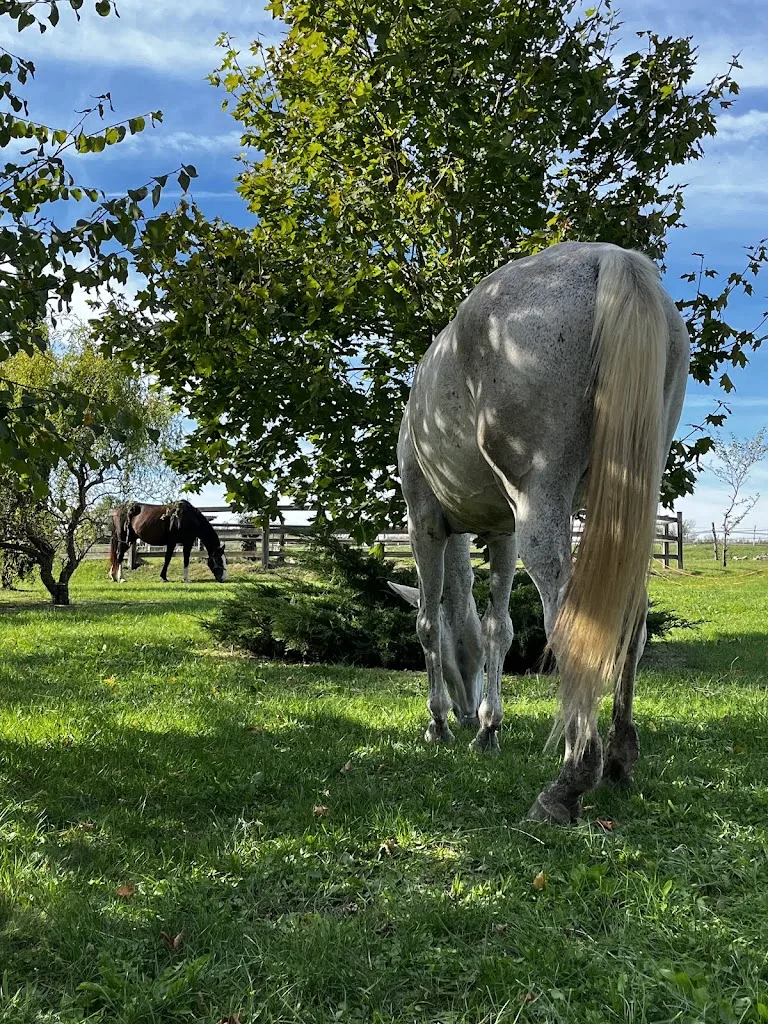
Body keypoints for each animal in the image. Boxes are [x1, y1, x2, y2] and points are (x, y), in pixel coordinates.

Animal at [393, 241, 689, 825]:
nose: (465, 713)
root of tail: (609, 258)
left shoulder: (425, 523)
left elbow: (428, 623)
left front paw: (439, 724)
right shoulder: (501, 533)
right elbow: (498, 627)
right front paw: (487, 731)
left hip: (541, 506)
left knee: (574, 621)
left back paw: (569, 781)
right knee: (631, 620)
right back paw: (618, 761)